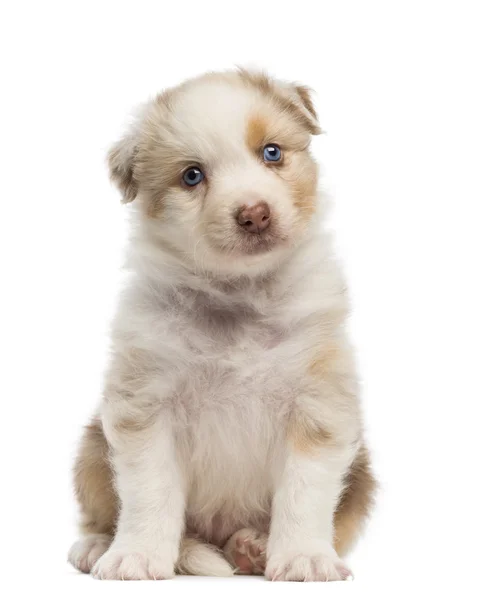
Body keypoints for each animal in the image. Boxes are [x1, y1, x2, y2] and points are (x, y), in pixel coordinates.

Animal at [67, 68, 376, 580]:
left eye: (272, 152)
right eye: (192, 175)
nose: (255, 213)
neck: (238, 297)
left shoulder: (318, 403)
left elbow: (304, 490)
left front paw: (304, 558)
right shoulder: (145, 401)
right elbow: (149, 491)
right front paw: (136, 556)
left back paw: (252, 546)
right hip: (92, 448)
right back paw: (97, 545)